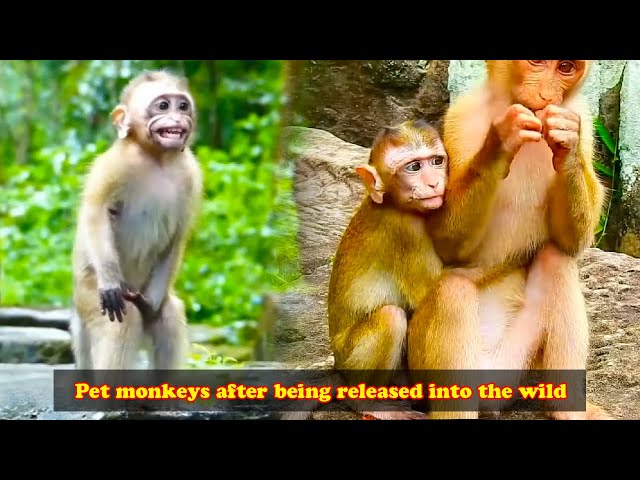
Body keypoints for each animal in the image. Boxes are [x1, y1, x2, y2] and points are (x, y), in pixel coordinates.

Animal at [70, 70, 203, 371]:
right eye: (163, 106)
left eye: (183, 106)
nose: (177, 119)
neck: (157, 158)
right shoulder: (112, 165)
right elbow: (96, 213)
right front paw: (110, 283)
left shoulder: (191, 175)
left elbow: (178, 235)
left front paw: (151, 307)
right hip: (86, 296)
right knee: (123, 319)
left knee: (168, 315)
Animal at [408, 60, 612, 420]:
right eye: (536, 63)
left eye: (565, 67)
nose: (545, 95)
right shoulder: (462, 120)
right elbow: (445, 244)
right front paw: (501, 143)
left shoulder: (583, 119)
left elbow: (570, 243)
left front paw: (566, 142)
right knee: (452, 292)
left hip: (516, 364)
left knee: (556, 258)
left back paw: (569, 409)